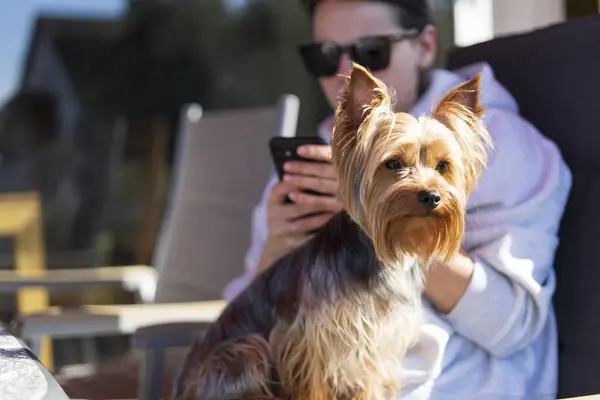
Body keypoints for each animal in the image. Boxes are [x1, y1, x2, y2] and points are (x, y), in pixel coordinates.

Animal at [173, 64, 492, 398]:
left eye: (443, 166)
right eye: (393, 163)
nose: (431, 196)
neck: (383, 254)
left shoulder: (376, 345)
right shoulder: (314, 341)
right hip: (242, 352)